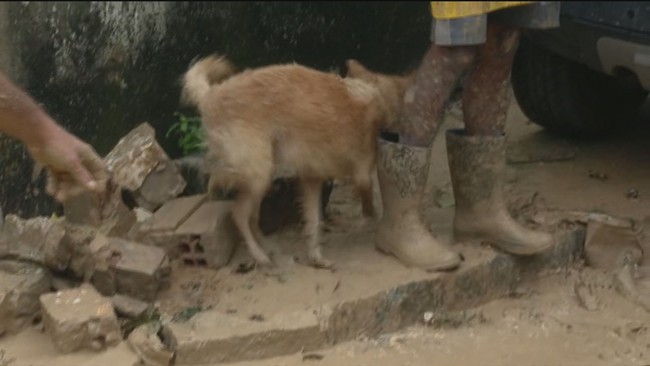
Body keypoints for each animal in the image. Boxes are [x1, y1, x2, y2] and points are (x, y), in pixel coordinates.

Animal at [180, 55, 412, 268]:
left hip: (261, 179)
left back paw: (268, 247)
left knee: (252, 217)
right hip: (259, 174)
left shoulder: (312, 179)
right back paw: (259, 255)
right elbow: (368, 202)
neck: (379, 97)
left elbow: (313, 220)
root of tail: (210, 95)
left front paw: (316, 256)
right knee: (238, 215)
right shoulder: (362, 173)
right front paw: (369, 221)